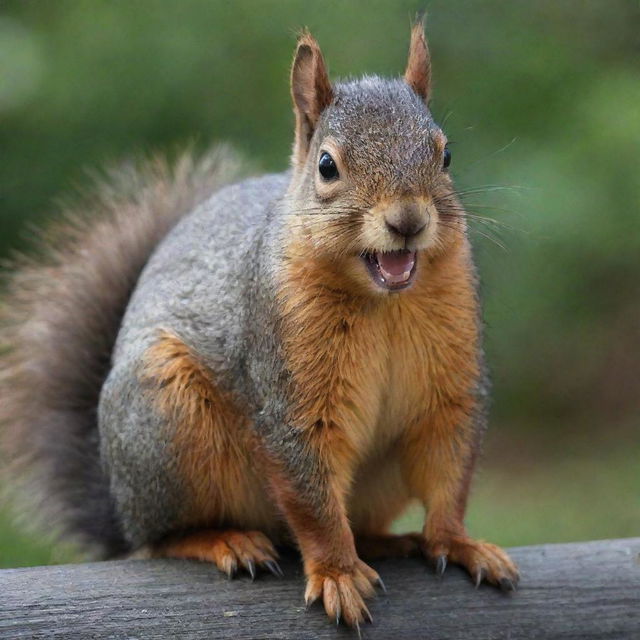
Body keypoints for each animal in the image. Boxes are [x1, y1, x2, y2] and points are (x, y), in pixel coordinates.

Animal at [0, 21, 516, 632]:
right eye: (326, 166)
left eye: (446, 154)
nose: (407, 221)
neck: (383, 303)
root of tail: (120, 504)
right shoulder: (287, 389)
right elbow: (311, 499)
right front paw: (338, 573)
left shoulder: (451, 384)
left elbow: (449, 467)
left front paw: (457, 542)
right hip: (167, 421)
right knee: (161, 539)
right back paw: (224, 541)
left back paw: (385, 541)